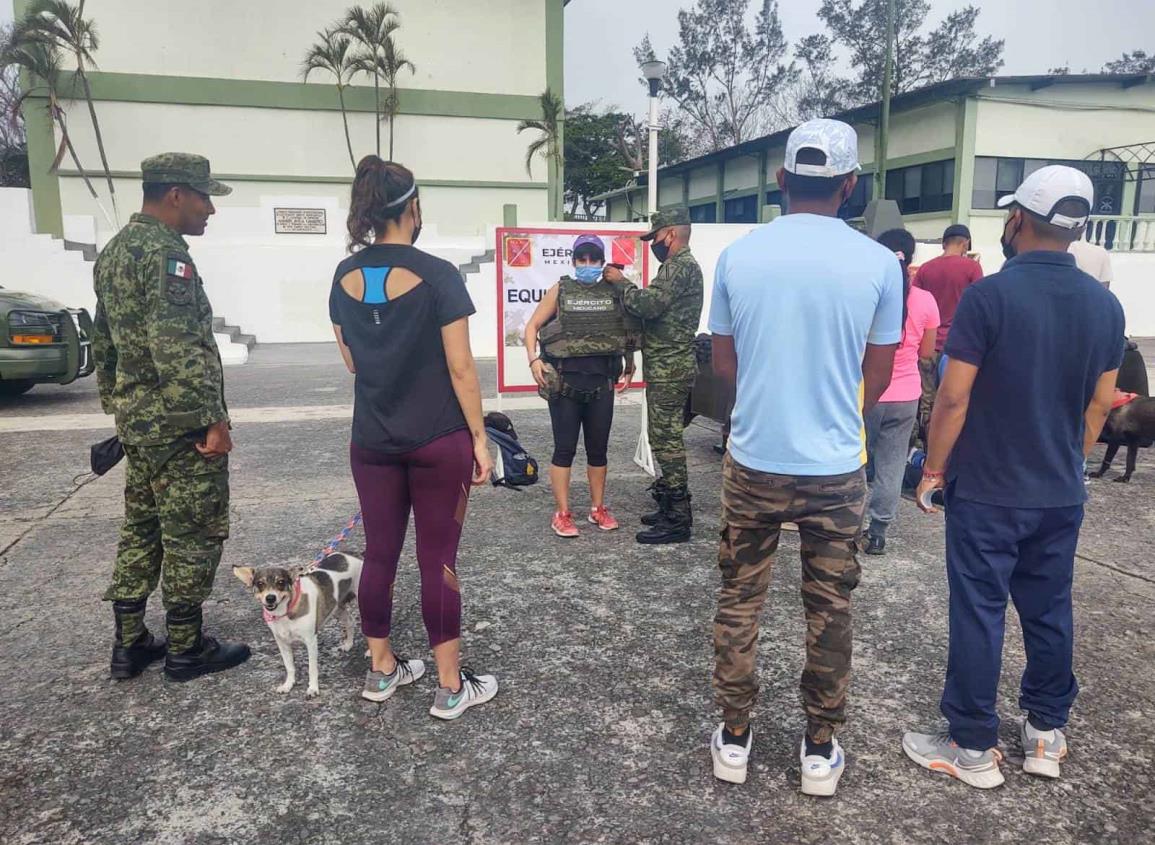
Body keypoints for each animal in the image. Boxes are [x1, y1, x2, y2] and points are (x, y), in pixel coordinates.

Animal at [233, 551, 360, 697]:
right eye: (260, 583)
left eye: (281, 582)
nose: (270, 598)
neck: (285, 612)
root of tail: (356, 554)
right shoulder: (282, 643)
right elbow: (289, 666)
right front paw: (288, 685)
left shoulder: (311, 642)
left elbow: (312, 668)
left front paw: (313, 688)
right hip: (336, 607)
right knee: (350, 621)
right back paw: (348, 644)